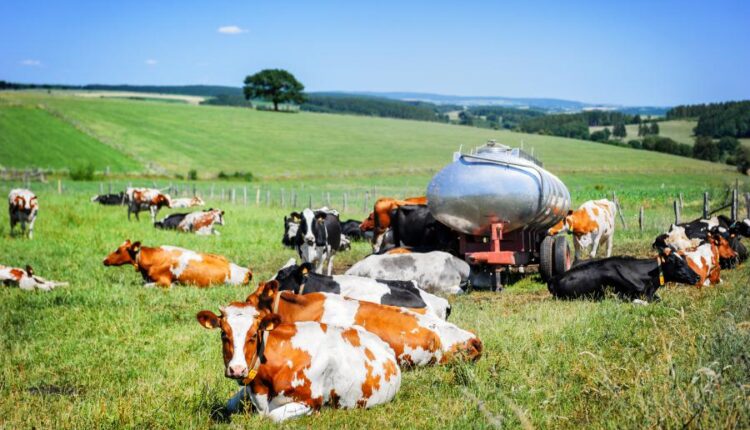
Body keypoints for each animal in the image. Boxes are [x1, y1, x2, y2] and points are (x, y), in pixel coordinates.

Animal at [196, 310, 401, 421]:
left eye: (253, 335)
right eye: (224, 334)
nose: (237, 369)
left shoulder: (310, 401)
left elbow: (272, 417)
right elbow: (229, 404)